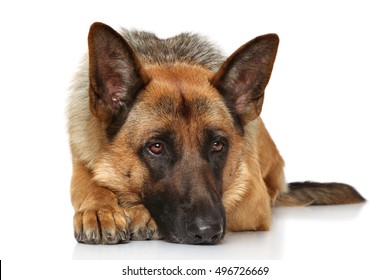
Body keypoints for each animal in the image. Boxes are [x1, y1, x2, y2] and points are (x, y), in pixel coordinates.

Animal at [68, 22, 366, 245]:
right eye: (156, 147)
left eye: (218, 145)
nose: (207, 231)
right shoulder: (81, 162)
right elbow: (88, 183)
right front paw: (100, 209)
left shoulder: (252, 200)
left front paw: (139, 212)